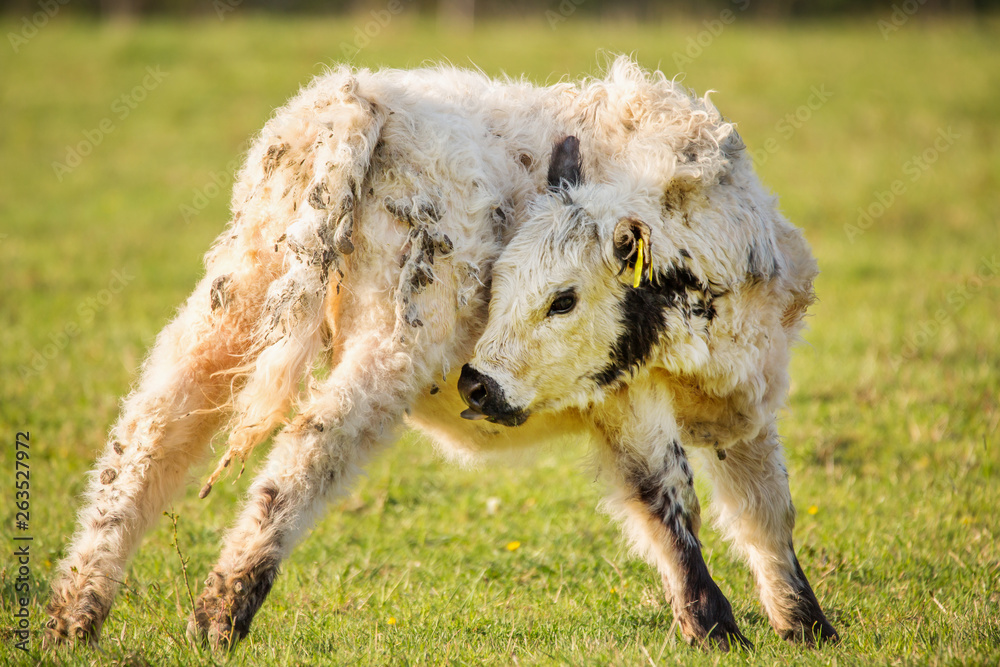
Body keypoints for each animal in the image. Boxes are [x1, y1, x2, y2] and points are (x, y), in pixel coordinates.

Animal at [45, 56, 838, 653]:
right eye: (506, 285)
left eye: (562, 298)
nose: (478, 386)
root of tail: (357, 99)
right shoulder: (627, 398)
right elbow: (669, 498)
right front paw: (715, 627)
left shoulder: (745, 405)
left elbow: (766, 508)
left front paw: (806, 625)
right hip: (391, 344)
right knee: (306, 450)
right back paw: (218, 616)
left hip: (232, 304)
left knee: (145, 438)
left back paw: (72, 618)